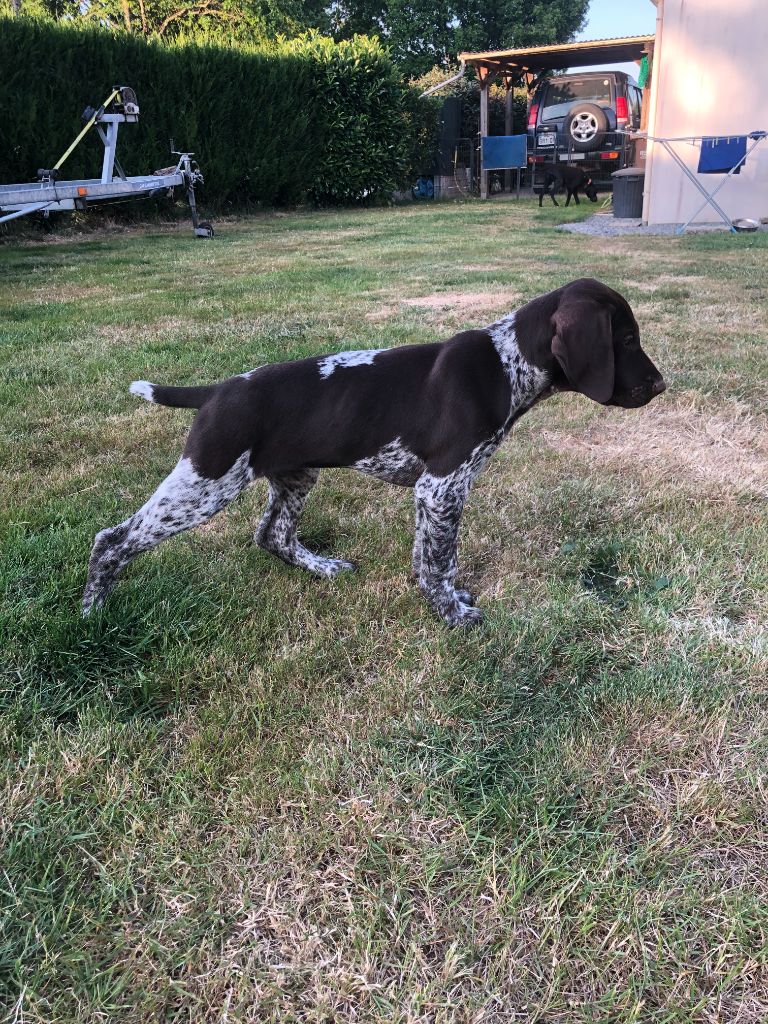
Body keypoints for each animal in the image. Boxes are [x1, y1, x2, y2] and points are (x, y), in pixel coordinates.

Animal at [81, 282, 663, 630]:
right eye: (625, 340)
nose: (660, 386)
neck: (507, 362)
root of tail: (218, 391)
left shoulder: (440, 493)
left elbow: (435, 560)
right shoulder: (442, 487)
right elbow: (439, 563)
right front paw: (453, 615)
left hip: (294, 477)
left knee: (272, 534)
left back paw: (323, 568)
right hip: (205, 482)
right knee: (112, 540)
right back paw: (92, 616)